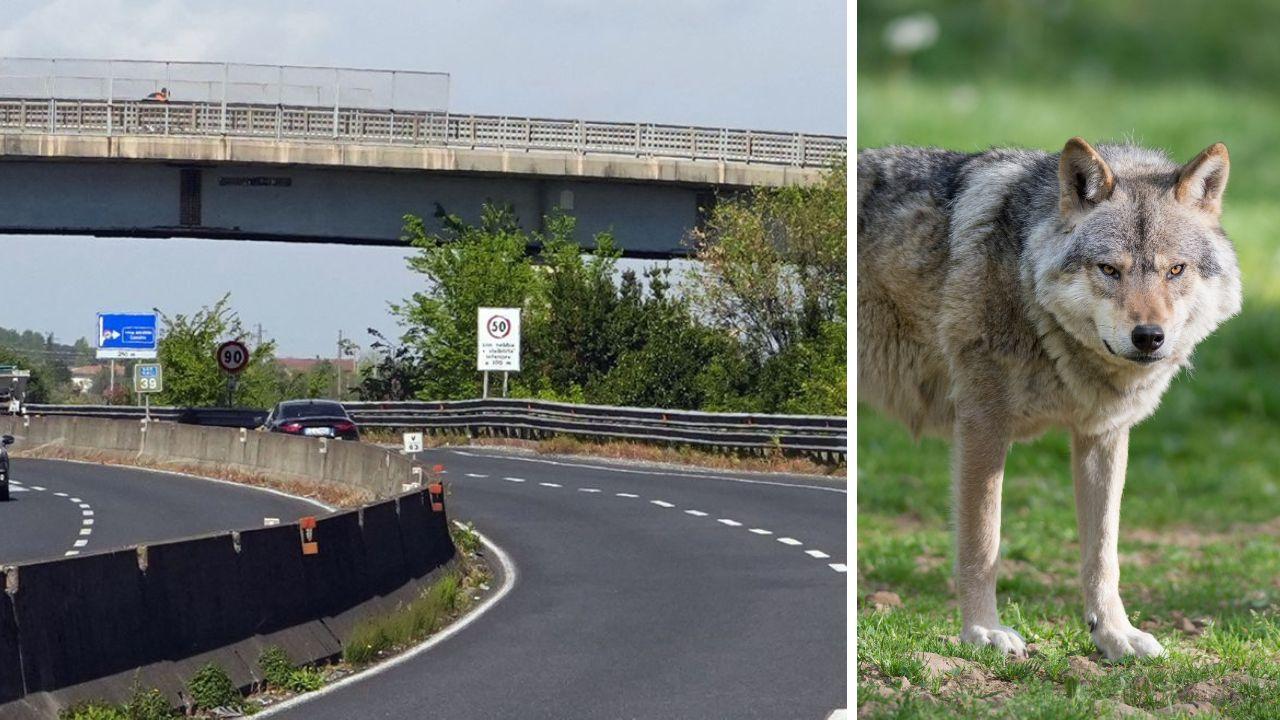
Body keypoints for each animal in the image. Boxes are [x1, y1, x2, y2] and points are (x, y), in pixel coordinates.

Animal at [857, 137, 1241, 659]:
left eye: (1175, 270)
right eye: (1110, 270)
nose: (1148, 337)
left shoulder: (1103, 435)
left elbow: (1103, 554)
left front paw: (1114, 635)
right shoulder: (982, 427)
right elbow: (983, 543)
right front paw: (982, 631)